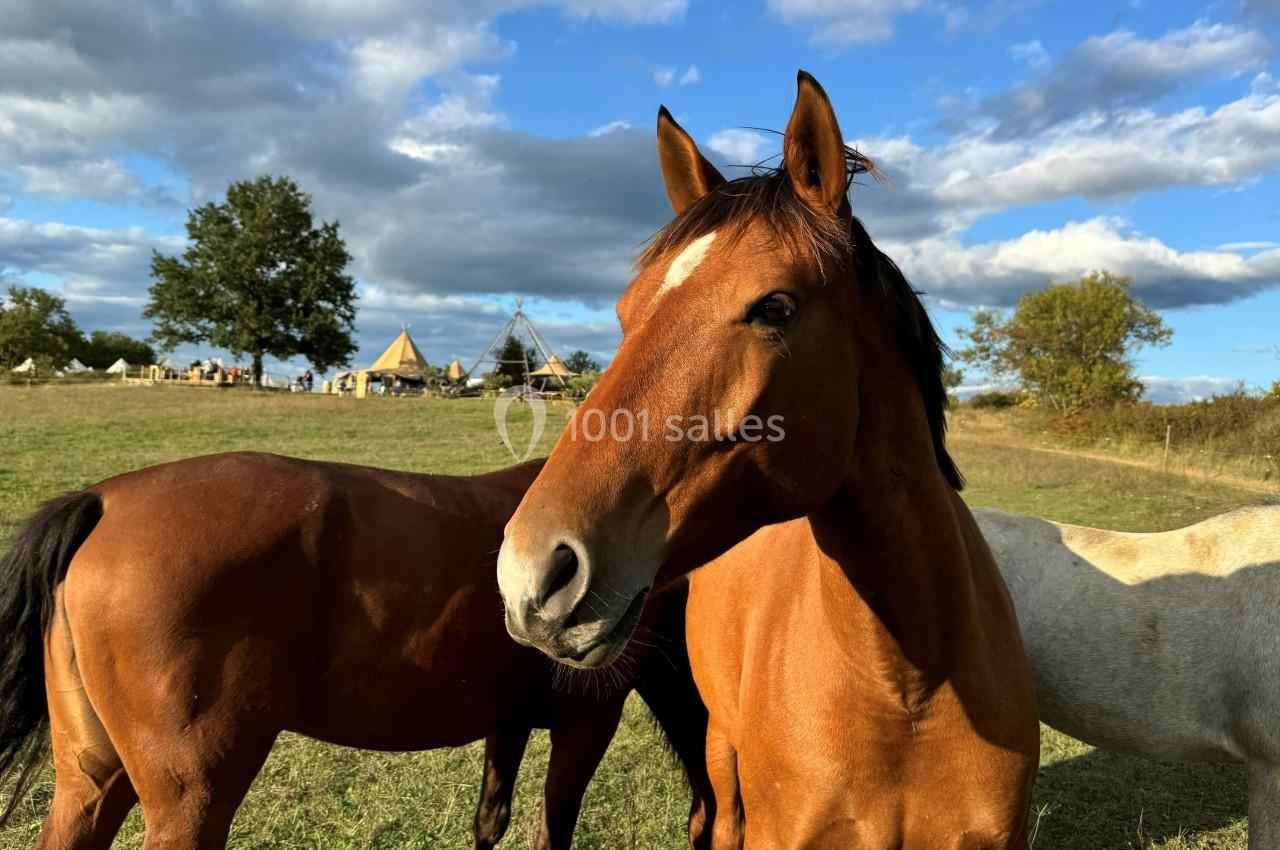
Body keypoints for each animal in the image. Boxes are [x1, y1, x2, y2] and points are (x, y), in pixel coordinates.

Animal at [0, 452, 712, 850]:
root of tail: (104, 499)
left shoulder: (508, 723)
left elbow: (490, 820)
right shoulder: (587, 725)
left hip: (92, 778)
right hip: (189, 801)